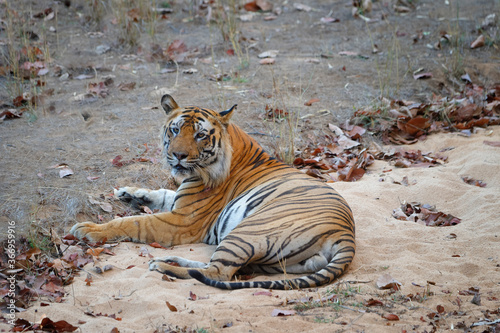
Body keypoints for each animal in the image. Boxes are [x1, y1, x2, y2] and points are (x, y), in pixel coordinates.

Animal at [69, 93, 356, 288]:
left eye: (200, 135)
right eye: (175, 130)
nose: (178, 156)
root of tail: (346, 233)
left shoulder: (182, 221)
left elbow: (134, 222)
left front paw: (88, 229)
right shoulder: (180, 203)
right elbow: (161, 193)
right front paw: (128, 192)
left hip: (248, 231)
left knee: (217, 273)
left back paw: (163, 266)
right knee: (219, 268)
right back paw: (171, 262)